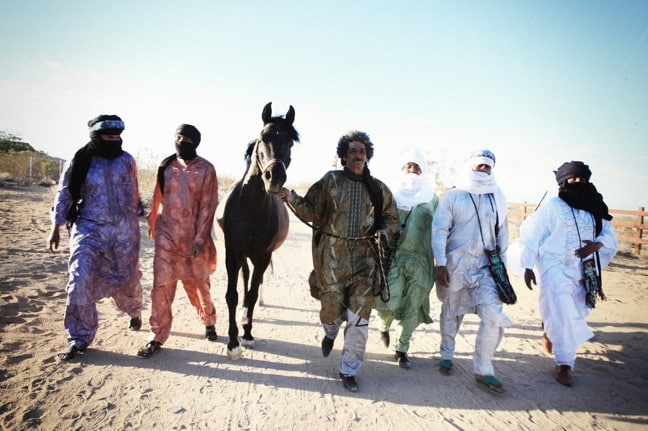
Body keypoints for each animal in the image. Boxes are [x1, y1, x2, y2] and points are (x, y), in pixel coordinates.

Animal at [216, 103, 300, 360]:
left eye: (290, 143)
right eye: (263, 137)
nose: (275, 178)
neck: (250, 208)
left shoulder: (263, 256)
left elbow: (253, 293)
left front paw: (247, 335)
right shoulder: (232, 253)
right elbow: (232, 295)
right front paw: (233, 343)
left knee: (256, 283)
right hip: (243, 256)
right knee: (245, 277)